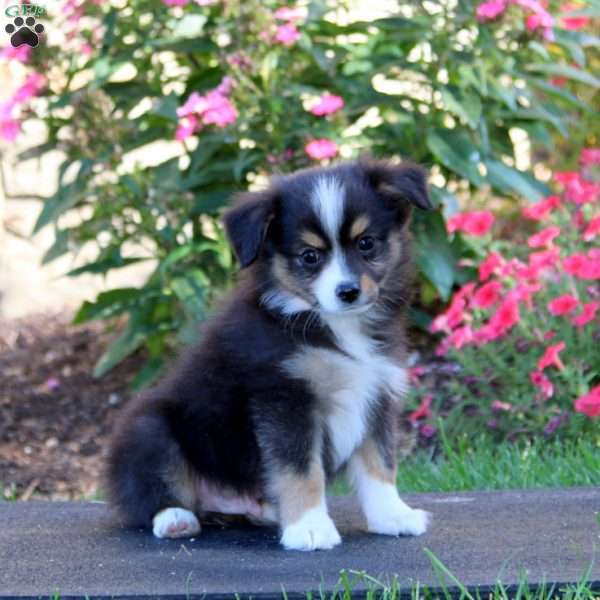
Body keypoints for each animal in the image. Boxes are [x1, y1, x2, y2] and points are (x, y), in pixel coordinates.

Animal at [106, 157, 432, 552]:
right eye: (309, 256)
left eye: (366, 243)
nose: (348, 291)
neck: (330, 325)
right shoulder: (284, 397)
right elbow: (300, 469)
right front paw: (309, 528)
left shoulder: (377, 393)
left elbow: (380, 464)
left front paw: (392, 515)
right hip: (148, 427)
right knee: (149, 493)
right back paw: (175, 519)